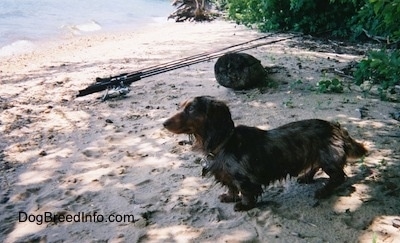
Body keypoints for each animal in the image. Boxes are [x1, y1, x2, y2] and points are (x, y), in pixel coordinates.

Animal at [162, 96, 366, 211]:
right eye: (180, 106)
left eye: (191, 109)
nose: (163, 123)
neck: (224, 143)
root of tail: (335, 127)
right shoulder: (227, 176)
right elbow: (231, 187)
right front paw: (229, 197)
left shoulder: (244, 178)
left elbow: (246, 192)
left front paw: (244, 205)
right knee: (315, 165)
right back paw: (306, 176)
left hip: (328, 158)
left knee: (339, 177)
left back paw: (323, 191)